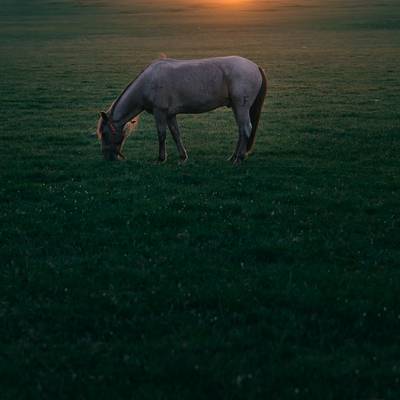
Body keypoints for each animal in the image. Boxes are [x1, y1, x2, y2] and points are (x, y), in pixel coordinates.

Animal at [95, 55, 268, 163]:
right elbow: (175, 134)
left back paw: (239, 158)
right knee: (241, 131)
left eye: (104, 133)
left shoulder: (160, 113)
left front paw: (161, 158)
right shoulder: (170, 115)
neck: (148, 82)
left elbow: (162, 135)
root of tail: (255, 66)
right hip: (237, 108)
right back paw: (233, 156)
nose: (107, 158)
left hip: (241, 106)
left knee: (245, 129)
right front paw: (183, 156)